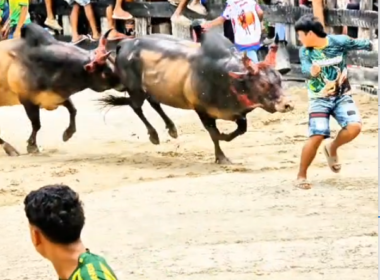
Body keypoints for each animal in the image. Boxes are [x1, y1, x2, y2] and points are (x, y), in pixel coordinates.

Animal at [0, 23, 121, 156]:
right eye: (106, 72)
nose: (123, 82)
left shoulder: (58, 96)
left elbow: (73, 110)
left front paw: (68, 134)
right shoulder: (28, 101)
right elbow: (37, 124)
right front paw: (32, 146)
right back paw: (10, 149)